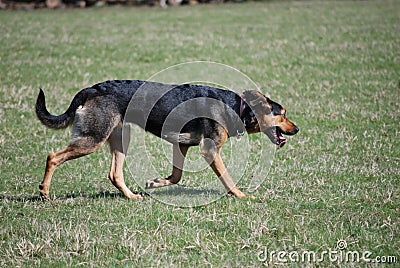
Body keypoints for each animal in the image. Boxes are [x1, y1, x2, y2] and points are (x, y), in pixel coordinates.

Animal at [35, 80, 296, 200]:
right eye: (282, 114)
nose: (298, 129)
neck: (238, 108)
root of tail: (93, 88)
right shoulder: (209, 150)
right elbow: (228, 178)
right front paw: (241, 196)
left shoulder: (182, 144)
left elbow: (176, 176)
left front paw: (155, 182)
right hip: (93, 138)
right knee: (52, 157)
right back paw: (44, 193)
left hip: (120, 138)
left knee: (114, 174)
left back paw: (132, 196)